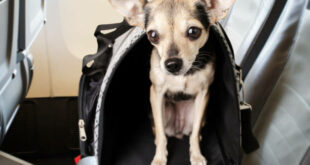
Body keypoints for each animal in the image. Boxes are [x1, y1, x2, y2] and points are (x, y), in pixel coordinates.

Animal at [108, 0, 235, 164]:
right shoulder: (156, 94)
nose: (172, 64)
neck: (183, 75)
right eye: (153, 35)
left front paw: (196, 155)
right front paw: (159, 158)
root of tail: (178, 131)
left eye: (193, 32)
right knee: (158, 130)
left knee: (195, 130)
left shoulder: (203, 94)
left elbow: (195, 133)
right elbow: (161, 133)